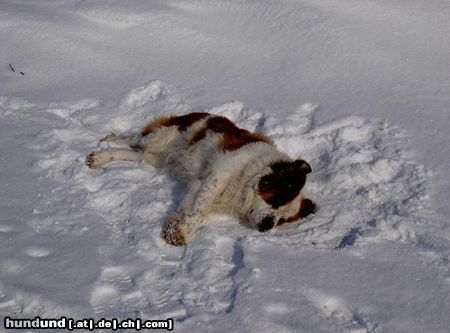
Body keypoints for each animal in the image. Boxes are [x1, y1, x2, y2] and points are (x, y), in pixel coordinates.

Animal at [85, 111, 316, 244]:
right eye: (275, 200)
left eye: (283, 220)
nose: (268, 224)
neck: (248, 176)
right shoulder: (216, 177)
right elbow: (200, 211)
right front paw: (181, 233)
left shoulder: (199, 184)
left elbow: (190, 209)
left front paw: (176, 227)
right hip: (160, 137)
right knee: (131, 139)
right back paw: (106, 142)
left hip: (151, 157)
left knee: (130, 151)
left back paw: (101, 157)